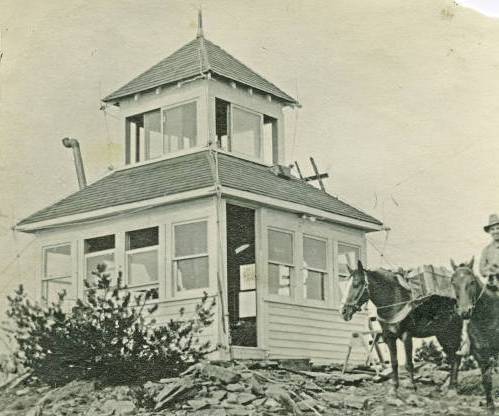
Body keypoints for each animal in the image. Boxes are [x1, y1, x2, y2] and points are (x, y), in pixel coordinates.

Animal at [342, 262, 462, 394]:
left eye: (356, 284)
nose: (343, 312)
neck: (395, 301)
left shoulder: (406, 335)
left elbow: (409, 364)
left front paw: (413, 387)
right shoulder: (389, 337)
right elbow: (394, 363)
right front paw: (394, 388)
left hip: (452, 333)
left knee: (456, 358)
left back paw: (452, 388)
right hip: (442, 335)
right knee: (453, 358)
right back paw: (451, 386)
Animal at [452, 258, 499, 414]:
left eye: (472, 281)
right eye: (453, 282)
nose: (465, 312)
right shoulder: (480, 354)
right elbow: (486, 380)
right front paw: (490, 405)